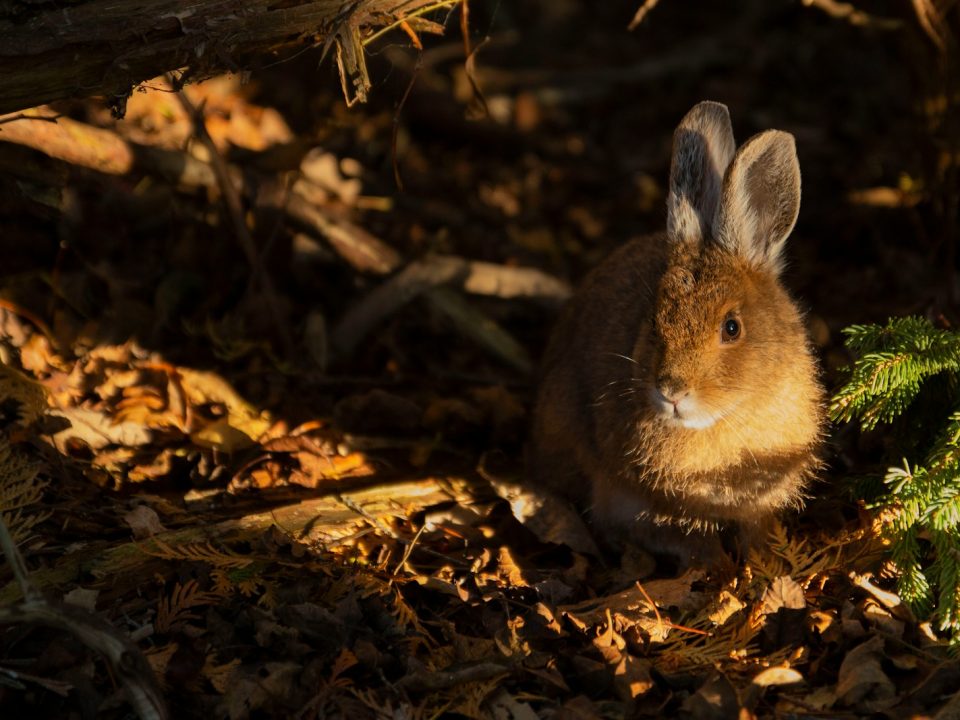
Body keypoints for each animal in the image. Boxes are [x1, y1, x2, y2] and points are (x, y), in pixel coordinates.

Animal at [528, 101, 825, 566]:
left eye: (732, 328)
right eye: (654, 321)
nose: (672, 391)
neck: (730, 414)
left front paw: (762, 565)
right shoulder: (648, 505)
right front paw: (722, 570)